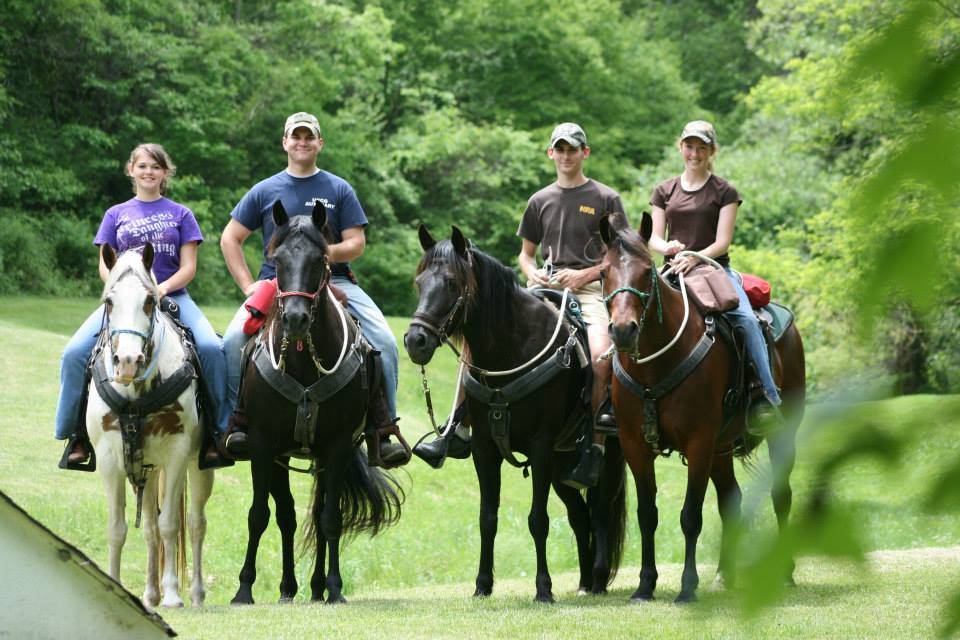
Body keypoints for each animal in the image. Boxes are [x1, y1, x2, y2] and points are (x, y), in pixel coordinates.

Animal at [87, 244, 214, 608]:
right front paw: (117, 585)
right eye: (109, 301)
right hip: (148, 469)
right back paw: (150, 593)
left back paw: (194, 593)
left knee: (195, 524)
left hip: (198, 466)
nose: (128, 362)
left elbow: (171, 524)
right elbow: (118, 528)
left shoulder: (176, 456)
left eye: (149, 301)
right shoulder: (110, 459)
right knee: (150, 529)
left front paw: (172, 594)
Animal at [230, 202, 403, 605]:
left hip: (323, 458)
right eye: (277, 260)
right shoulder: (263, 444)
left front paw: (336, 588)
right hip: (282, 456)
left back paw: (317, 586)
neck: (302, 360)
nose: (295, 318)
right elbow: (259, 515)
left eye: (320, 260)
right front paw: (244, 589)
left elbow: (330, 519)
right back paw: (288, 588)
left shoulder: (337, 445)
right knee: (288, 517)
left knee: (322, 512)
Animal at [403, 225, 626, 602]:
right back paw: (583, 582)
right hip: (561, 468)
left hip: (602, 460)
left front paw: (543, 589)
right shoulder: (485, 450)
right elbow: (487, 518)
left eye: (451, 282)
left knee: (598, 512)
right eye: (419, 282)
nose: (415, 340)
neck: (511, 347)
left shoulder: (540, 447)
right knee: (579, 515)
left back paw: (596, 579)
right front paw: (482, 585)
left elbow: (538, 520)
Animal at [597, 212, 806, 603]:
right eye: (603, 272)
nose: (623, 331)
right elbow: (647, 515)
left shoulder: (698, 443)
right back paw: (724, 575)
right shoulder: (635, 446)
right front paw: (645, 585)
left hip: (780, 433)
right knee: (731, 501)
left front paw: (686, 587)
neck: (654, 367)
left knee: (781, 495)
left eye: (646, 272)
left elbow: (690, 516)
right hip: (721, 449)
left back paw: (785, 574)